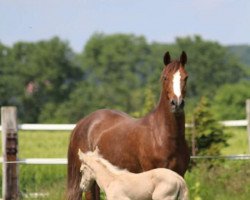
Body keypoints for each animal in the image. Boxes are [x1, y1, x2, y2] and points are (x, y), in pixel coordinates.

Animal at [66, 51, 189, 200]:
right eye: (165, 77)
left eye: (186, 77)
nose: (177, 104)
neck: (163, 137)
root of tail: (82, 123)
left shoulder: (180, 174)